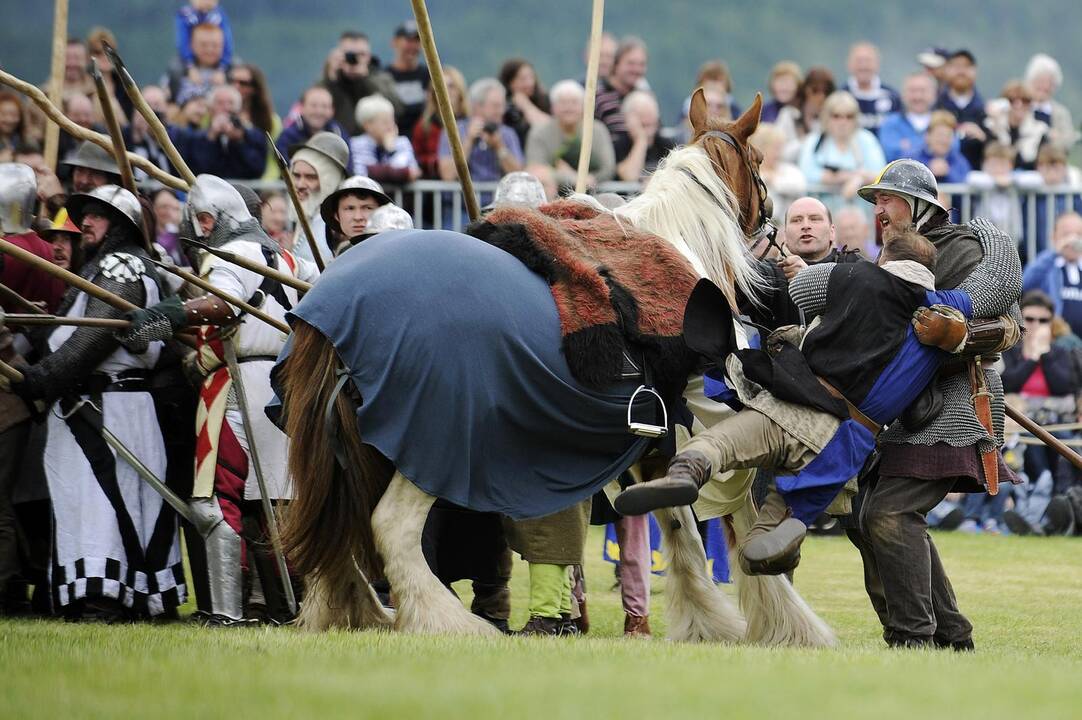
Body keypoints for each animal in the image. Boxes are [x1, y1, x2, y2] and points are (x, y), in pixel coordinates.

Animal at [279, 89, 835, 645]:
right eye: (759, 159)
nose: (778, 229)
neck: (684, 249)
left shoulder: (652, 439)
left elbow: (678, 528)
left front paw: (705, 621)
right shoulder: (704, 414)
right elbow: (734, 520)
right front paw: (788, 624)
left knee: (337, 528)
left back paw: (354, 609)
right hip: (432, 443)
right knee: (389, 528)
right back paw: (448, 622)